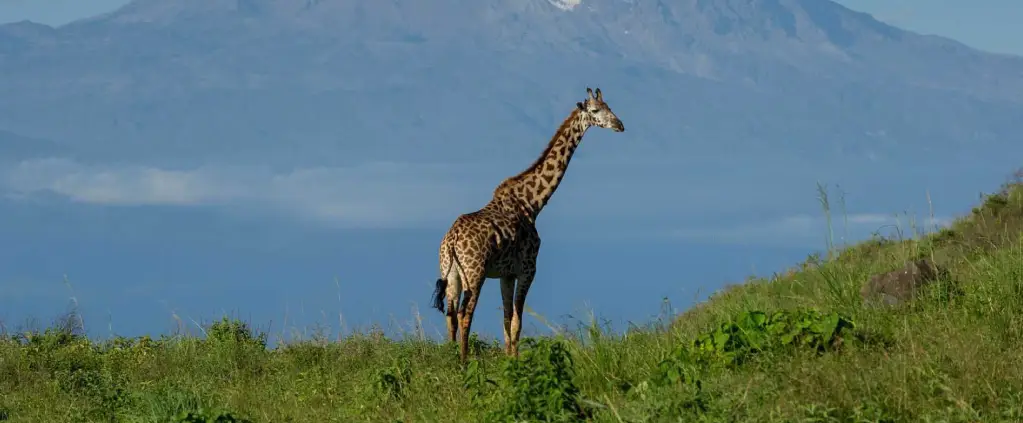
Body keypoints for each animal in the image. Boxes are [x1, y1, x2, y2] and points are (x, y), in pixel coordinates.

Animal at [429, 86, 621, 362]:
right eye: (595, 111)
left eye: (610, 107)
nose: (620, 125)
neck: (532, 203)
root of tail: (452, 240)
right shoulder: (528, 269)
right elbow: (517, 321)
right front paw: (516, 362)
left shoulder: (506, 274)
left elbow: (506, 319)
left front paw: (509, 358)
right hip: (475, 273)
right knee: (466, 314)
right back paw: (465, 363)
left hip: (451, 271)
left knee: (451, 316)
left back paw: (453, 358)